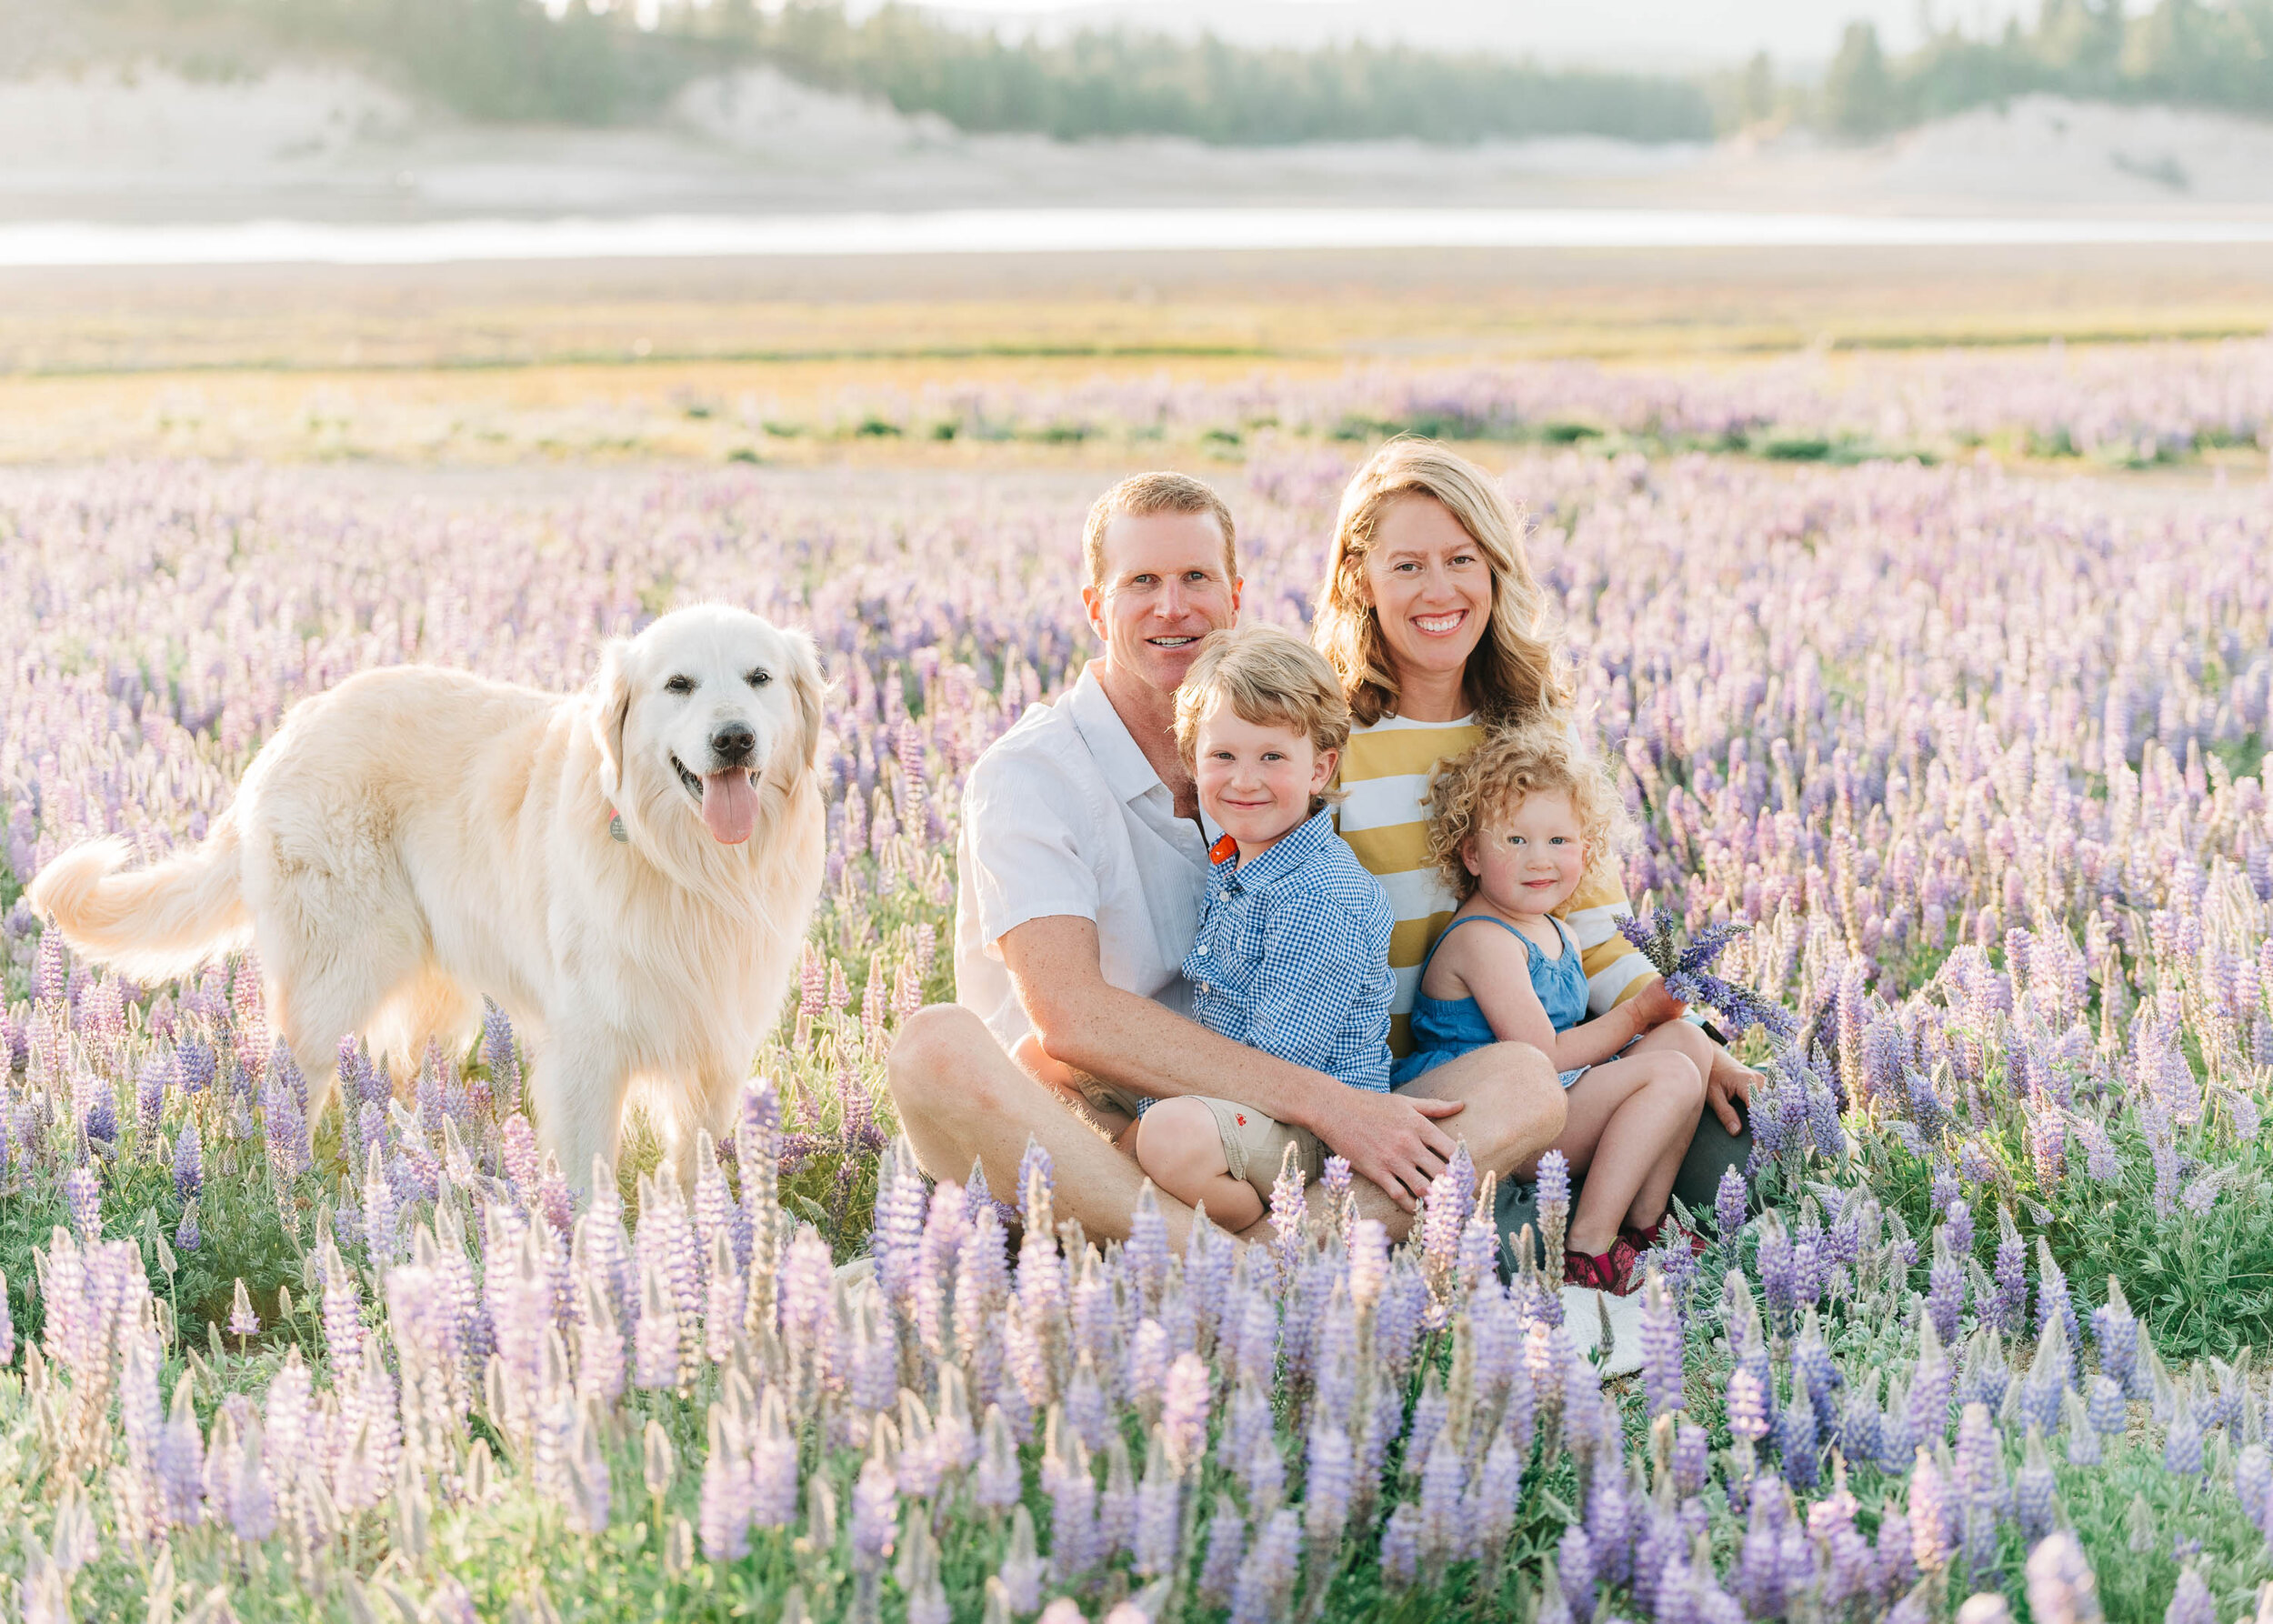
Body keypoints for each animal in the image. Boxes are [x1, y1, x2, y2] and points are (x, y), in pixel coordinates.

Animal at [28, 600, 827, 1182]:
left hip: (433, 991)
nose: (733, 739)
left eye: (759, 678)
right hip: (338, 974)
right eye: (679, 685)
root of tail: (294, 723)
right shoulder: (590, 1050)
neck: (689, 866)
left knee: (398, 1077)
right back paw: (288, 1192)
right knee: (289, 1088)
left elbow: (699, 1169)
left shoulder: (715, 1049)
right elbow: (587, 1177)